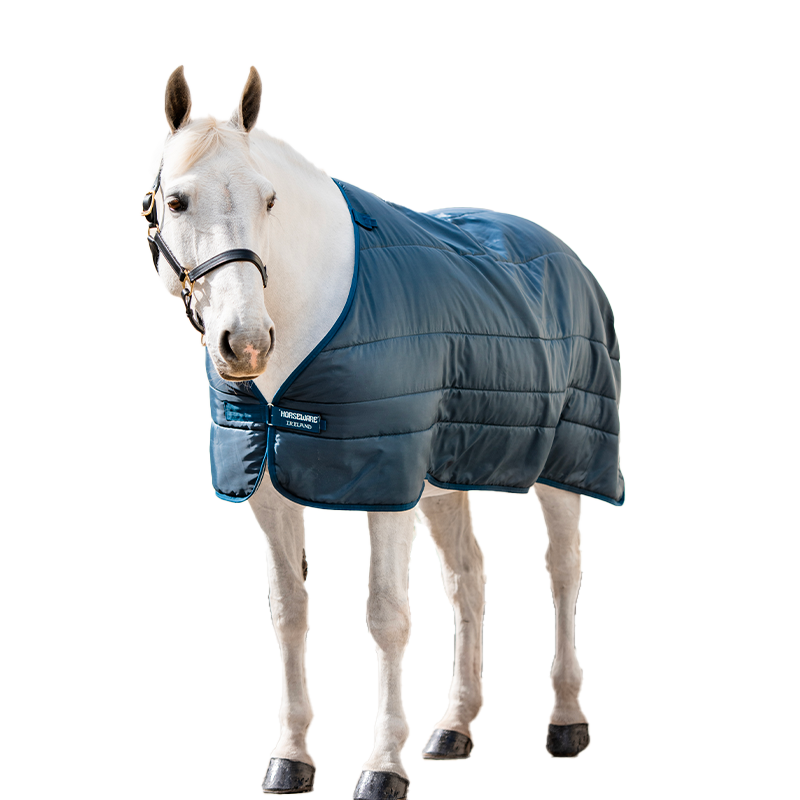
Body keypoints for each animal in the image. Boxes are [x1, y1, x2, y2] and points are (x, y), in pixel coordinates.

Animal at [141, 65, 624, 800]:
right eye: (176, 201)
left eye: (270, 199)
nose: (246, 343)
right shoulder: (269, 490)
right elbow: (288, 612)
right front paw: (292, 756)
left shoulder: (382, 485)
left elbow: (390, 616)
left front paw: (383, 766)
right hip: (444, 485)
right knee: (466, 579)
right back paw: (456, 727)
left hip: (562, 467)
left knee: (563, 572)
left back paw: (566, 720)